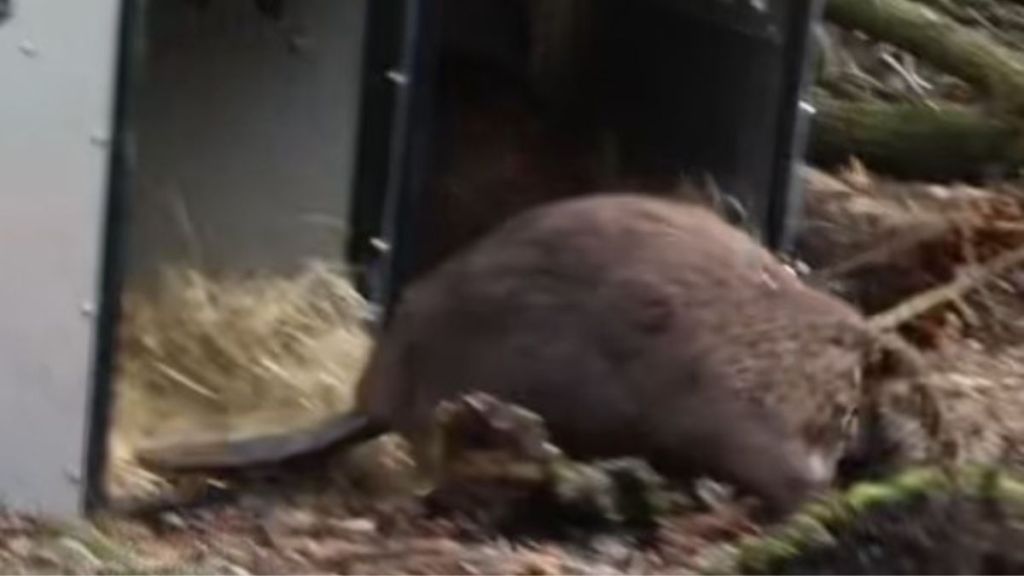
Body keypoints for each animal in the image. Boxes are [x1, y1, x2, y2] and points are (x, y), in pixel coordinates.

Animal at [138, 191, 942, 516]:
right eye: (928, 406)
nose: (944, 446)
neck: (797, 350)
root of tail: (371, 396)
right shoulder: (743, 398)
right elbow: (775, 465)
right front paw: (827, 488)